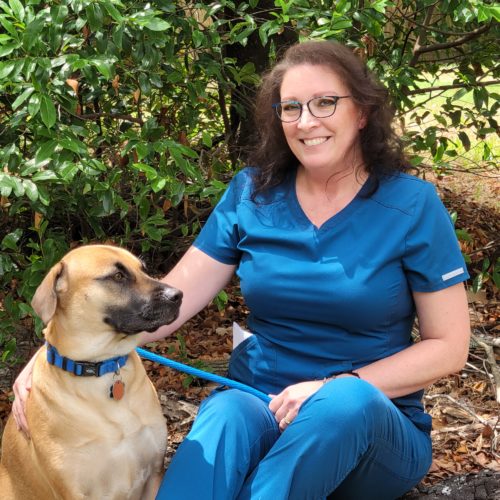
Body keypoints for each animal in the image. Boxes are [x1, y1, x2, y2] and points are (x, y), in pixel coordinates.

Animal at [0, 244, 183, 498]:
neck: (102, 366)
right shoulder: (73, 490)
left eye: (143, 269)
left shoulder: (154, 474)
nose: (178, 295)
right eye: (118, 276)